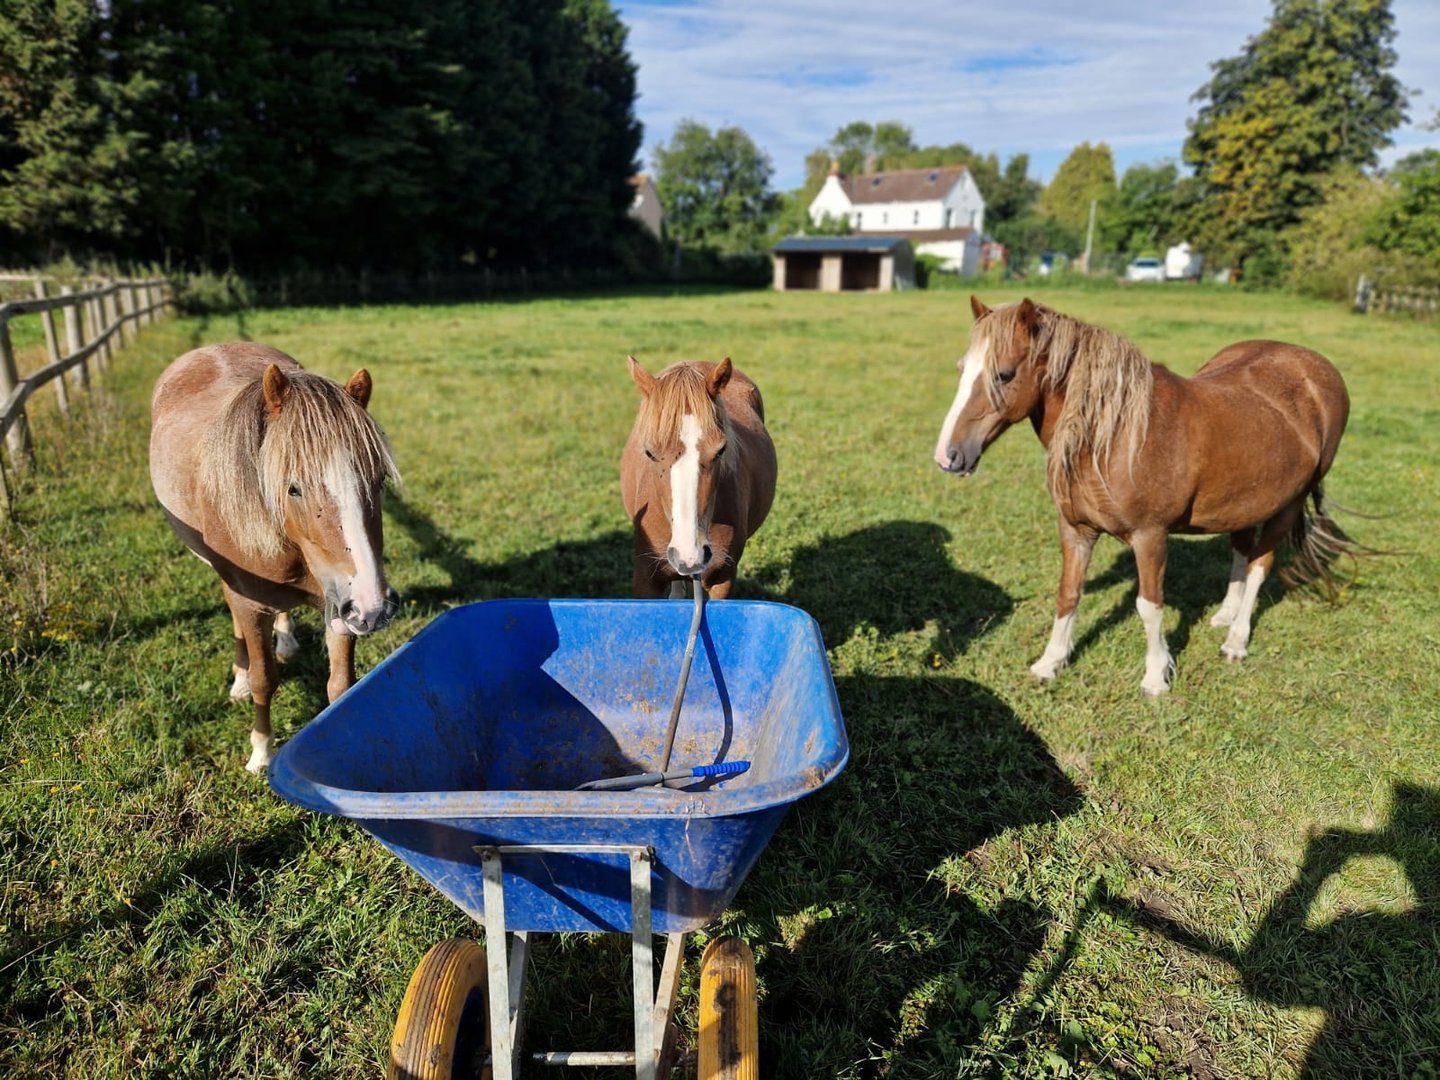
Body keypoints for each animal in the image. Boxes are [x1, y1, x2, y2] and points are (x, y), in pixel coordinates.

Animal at [149, 342, 400, 771]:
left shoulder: (338, 606)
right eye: (293, 488)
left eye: (378, 479)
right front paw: (261, 754)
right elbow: (264, 680)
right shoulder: (250, 602)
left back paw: (284, 640)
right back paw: (239, 678)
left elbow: (341, 686)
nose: (373, 607)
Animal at [933, 296, 1353, 696]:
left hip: (1287, 506)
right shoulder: (1076, 529)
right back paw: (1225, 616)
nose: (947, 456)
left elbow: (1149, 607)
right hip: (1245, 502)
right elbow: (1068, 593)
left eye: (1003, 374)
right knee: (1241, 551)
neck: (1113, 436)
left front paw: (1156, 677)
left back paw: (1236, 641)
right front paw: (1049, 663)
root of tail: (1315, 367)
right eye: (961, 369)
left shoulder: (1149, 536)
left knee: (1259, 567)